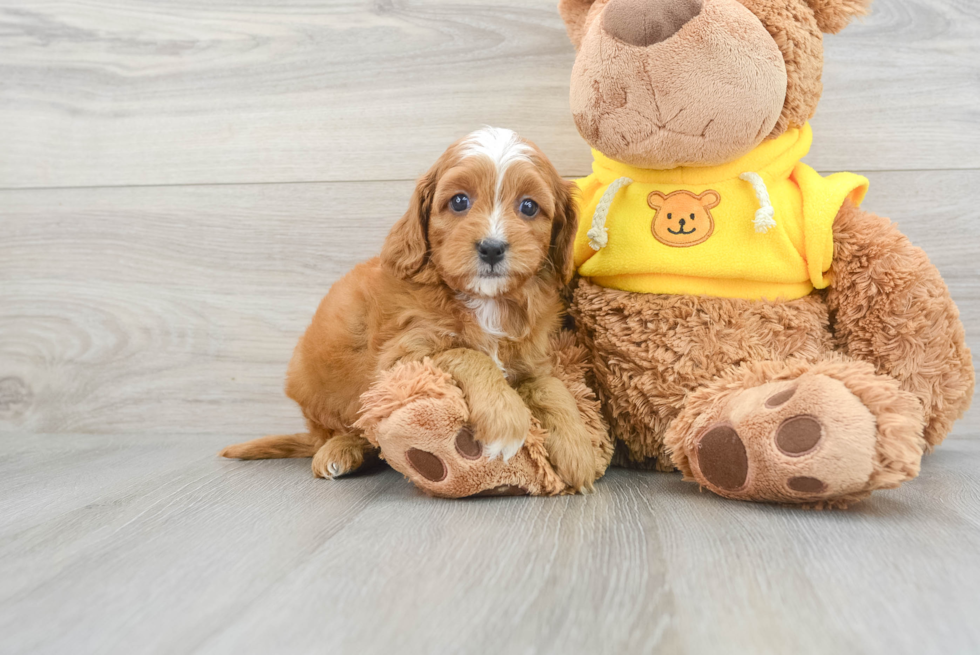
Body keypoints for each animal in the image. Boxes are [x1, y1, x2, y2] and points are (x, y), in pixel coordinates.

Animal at [221, 127, 596, 492]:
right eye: (459, 201)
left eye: (529, 207)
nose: (492, 248)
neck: (486, 301)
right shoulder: (401, 359)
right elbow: (469, 354)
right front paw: (506, 418)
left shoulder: (531, 360)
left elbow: (552, 387)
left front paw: (577, 447)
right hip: (316, 386)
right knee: (342, 430)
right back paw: (339, 450)